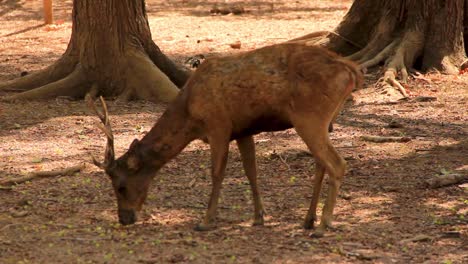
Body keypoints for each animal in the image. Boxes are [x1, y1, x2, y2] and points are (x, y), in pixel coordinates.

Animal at [89, 41, 364, 237]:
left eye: (120, 186)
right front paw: (258, 217)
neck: (190, 111)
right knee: (321, 163)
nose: (124, 219)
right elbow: (251, 172)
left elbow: (217, 172)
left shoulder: (218, 125)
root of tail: (350, 70)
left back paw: (323, 225)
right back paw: (308, 220)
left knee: (337, 163)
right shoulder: (243, 131)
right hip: (322, 121)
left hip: (310, 117)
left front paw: (205, 221)